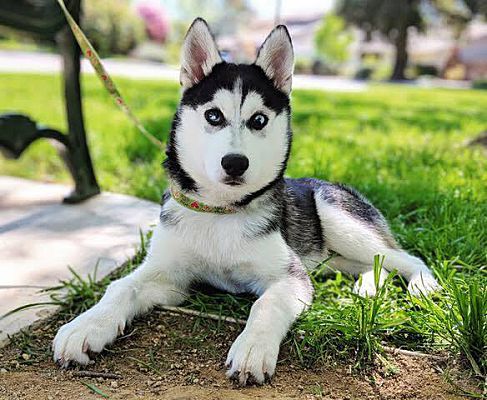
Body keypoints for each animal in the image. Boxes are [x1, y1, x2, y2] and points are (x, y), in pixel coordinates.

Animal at [52, 18, 438, 384]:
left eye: (258, 120)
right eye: (213, 115)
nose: (235, 163)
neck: (221, 211)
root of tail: (336, 185)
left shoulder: (290, 276)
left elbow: (265, 305)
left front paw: (253, 347)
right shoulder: (168, 277)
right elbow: (121, 286)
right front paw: (85, 326)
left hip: (337, 217)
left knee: (401, 256)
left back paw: (423, 285)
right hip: (329, 257)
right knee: (375, 263)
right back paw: (367, 287)